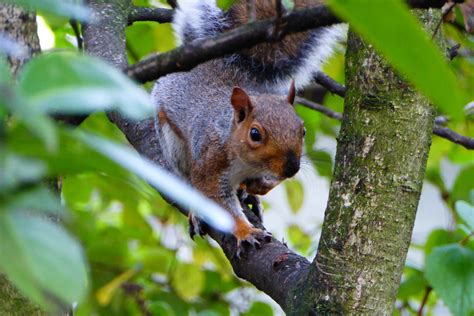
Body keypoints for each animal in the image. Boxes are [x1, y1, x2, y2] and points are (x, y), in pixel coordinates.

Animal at [153, 0, 344, 252]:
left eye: (302, 130)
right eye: (254, 134)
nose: (292, 168)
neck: (247, 163)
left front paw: (260, 188)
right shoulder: (211, 165)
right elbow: (219, 203)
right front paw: (247, 232)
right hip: (171, 141)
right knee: (185, 177)